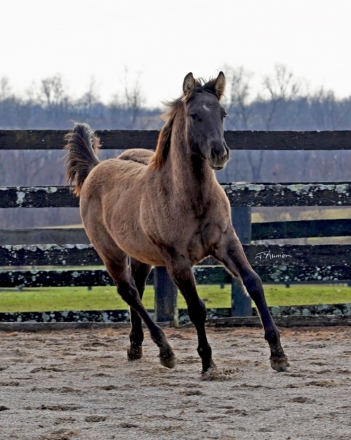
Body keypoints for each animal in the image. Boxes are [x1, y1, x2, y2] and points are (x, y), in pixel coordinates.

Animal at [64, 72, 288, 374]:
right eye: (194, 115)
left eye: (222, 113)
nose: (219, 153)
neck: (191, 199)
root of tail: (95, 169)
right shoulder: (177, 261)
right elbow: (196, 308)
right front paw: (207, 362)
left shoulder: (226, 242)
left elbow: (253, 283)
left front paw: (278, 354)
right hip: (110, 252)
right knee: (128, 292)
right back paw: (165, 350)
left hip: (141, 256)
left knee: (137, 289)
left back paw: (136, 347)